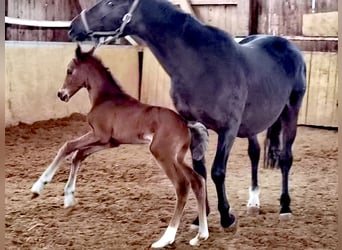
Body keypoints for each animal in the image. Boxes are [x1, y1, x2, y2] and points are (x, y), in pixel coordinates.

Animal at [31, 45, 208, 248]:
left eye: (69, 70)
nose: (61, 94)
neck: (104, 98)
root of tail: (186, 124)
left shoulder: (99, 135)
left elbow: (68, 146)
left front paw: (38, 187)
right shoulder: (109, 142)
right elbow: (79, 154)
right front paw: (68, 196)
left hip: (162, 154)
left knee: (182, 185)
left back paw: (165, 239)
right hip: (178, 158)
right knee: (198, 181)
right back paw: (201, 235)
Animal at [68, 0, 306, 229]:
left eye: (110, 3)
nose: (73, 27)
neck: (202, 64)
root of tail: (287, 45)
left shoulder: (228, 129)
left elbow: (217, 171)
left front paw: (226, 217)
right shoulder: (194, 124)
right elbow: (200, 171)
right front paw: (201, 218)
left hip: (290, 112)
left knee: (286, 158)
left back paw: (285, 207)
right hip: (252, 124)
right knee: (254, 153)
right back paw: (254, 201)